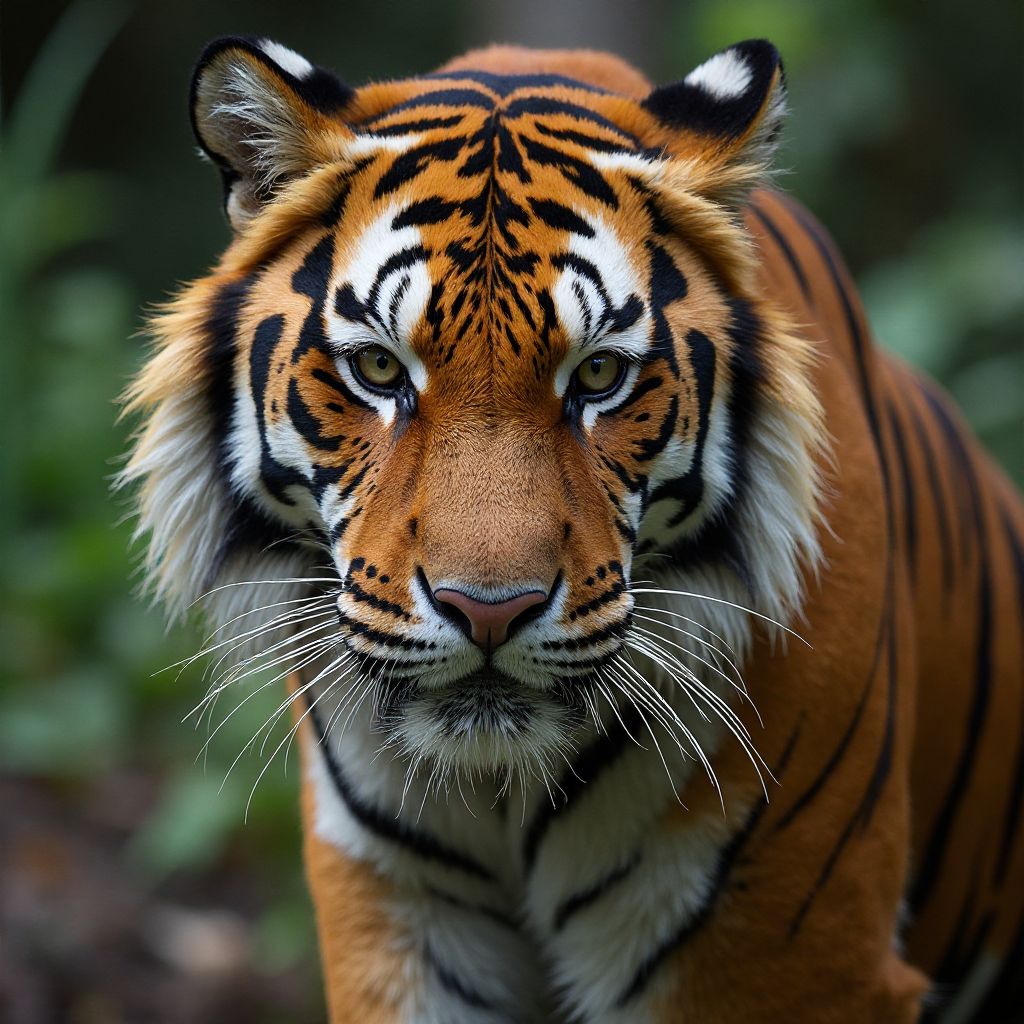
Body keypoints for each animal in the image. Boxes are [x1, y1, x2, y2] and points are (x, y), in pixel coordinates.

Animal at [120, 34, 1024, 1024]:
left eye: (597, 377)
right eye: (377, 369)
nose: (488, 611)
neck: (498, 784)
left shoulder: (793, 951)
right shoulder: (395, 922)